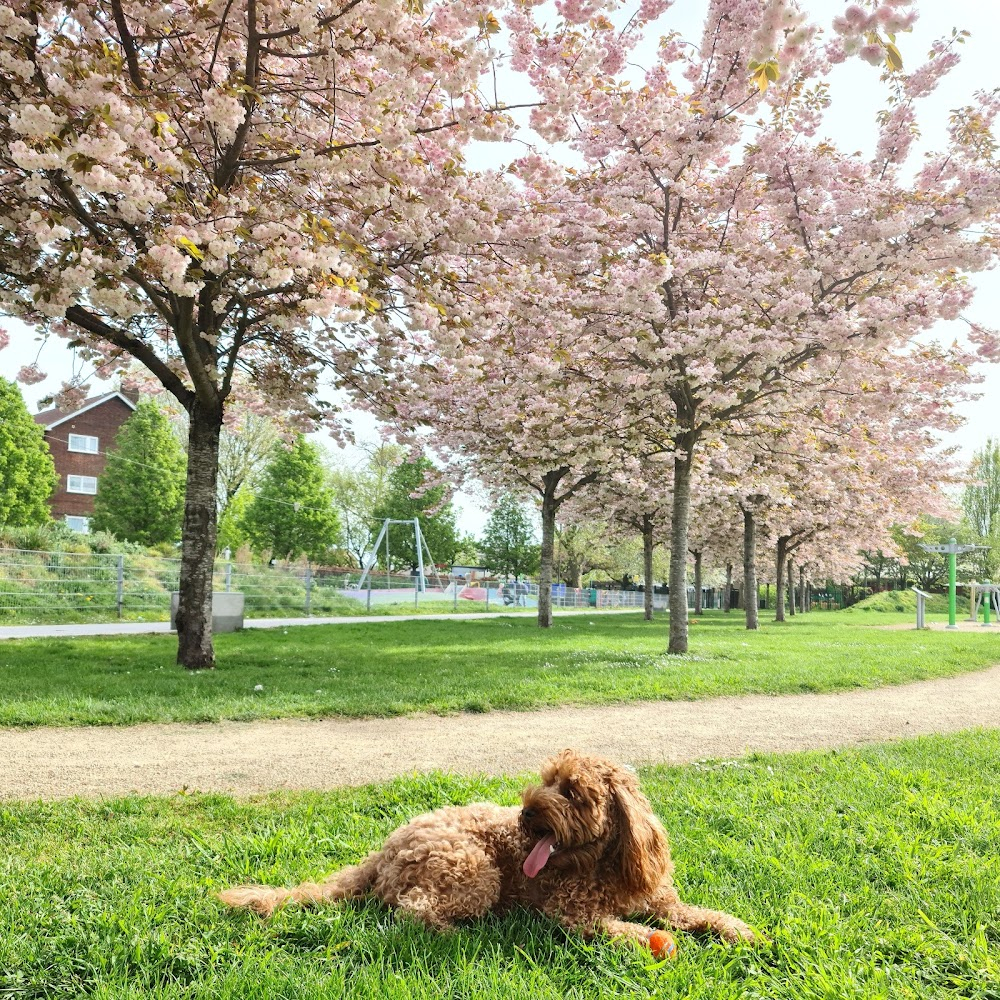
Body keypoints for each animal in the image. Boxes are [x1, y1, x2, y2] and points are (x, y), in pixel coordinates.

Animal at [217, 752, 752, 952]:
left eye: (573, 792)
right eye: (545, 780)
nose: (527, 814)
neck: (602, 865)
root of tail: (384, 849)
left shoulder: (662, 901)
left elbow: (703, 914)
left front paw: (740, 930)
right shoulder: (573, 916)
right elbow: (629, 930)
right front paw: (658, 941)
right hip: (472, 870)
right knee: (413, 912)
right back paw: (462, 934)